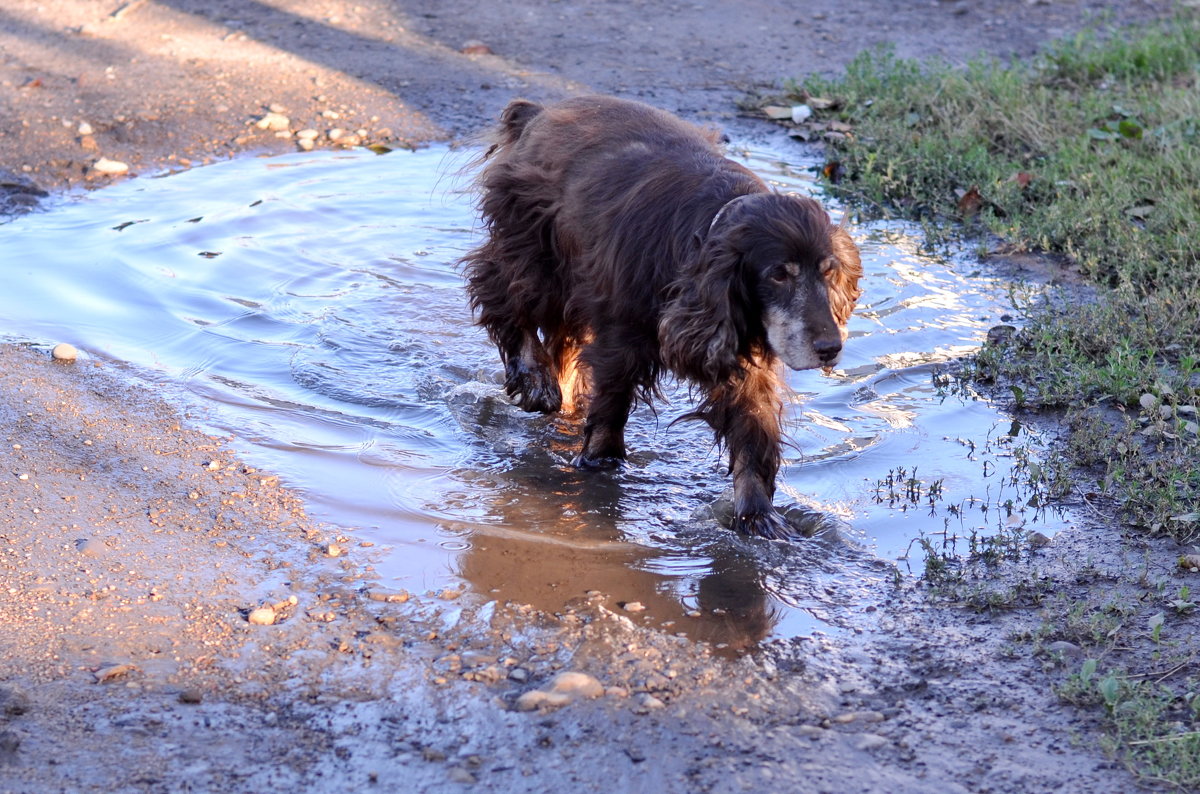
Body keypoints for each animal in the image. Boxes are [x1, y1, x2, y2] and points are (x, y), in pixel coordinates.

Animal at [458, 94, 864, 542]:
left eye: (828, 270)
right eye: (778, 274)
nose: (830, 348)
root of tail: (538, 112)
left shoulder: (744, 356)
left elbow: (753, 433)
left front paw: (759, 518)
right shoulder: (620, 340)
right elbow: (610, 411)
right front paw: (599, 469)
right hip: (535, 250)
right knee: (503, 298)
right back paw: (534, 379)